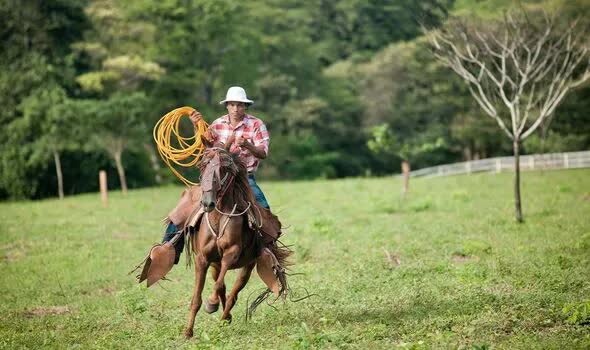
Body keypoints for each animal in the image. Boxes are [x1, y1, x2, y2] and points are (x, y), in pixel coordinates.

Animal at [182, 144, 290, 338]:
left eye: (223, 169)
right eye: (203, 167)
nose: (207, 202)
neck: (218, 218)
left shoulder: (232, 253)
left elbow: (220, 285)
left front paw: (211, 304)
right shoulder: (202, 258)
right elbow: (197, 297)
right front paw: (188, 331)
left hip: (247, 266)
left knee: (233, 293)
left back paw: (225, 317)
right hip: (214, 265)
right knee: (223, 287)